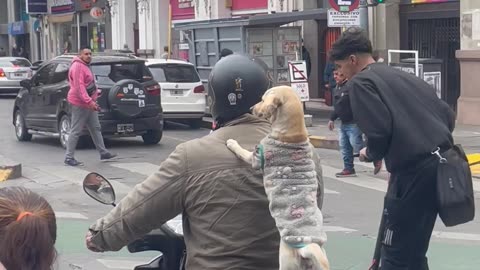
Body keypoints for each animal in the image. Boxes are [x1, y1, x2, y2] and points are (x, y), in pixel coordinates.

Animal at [227, 86, 328, 270]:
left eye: (262, 99)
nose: (251, 108)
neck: (293, 134)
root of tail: (308, 246)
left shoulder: (255, 157)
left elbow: (241, 151)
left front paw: (231, 143)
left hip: (285, 260)